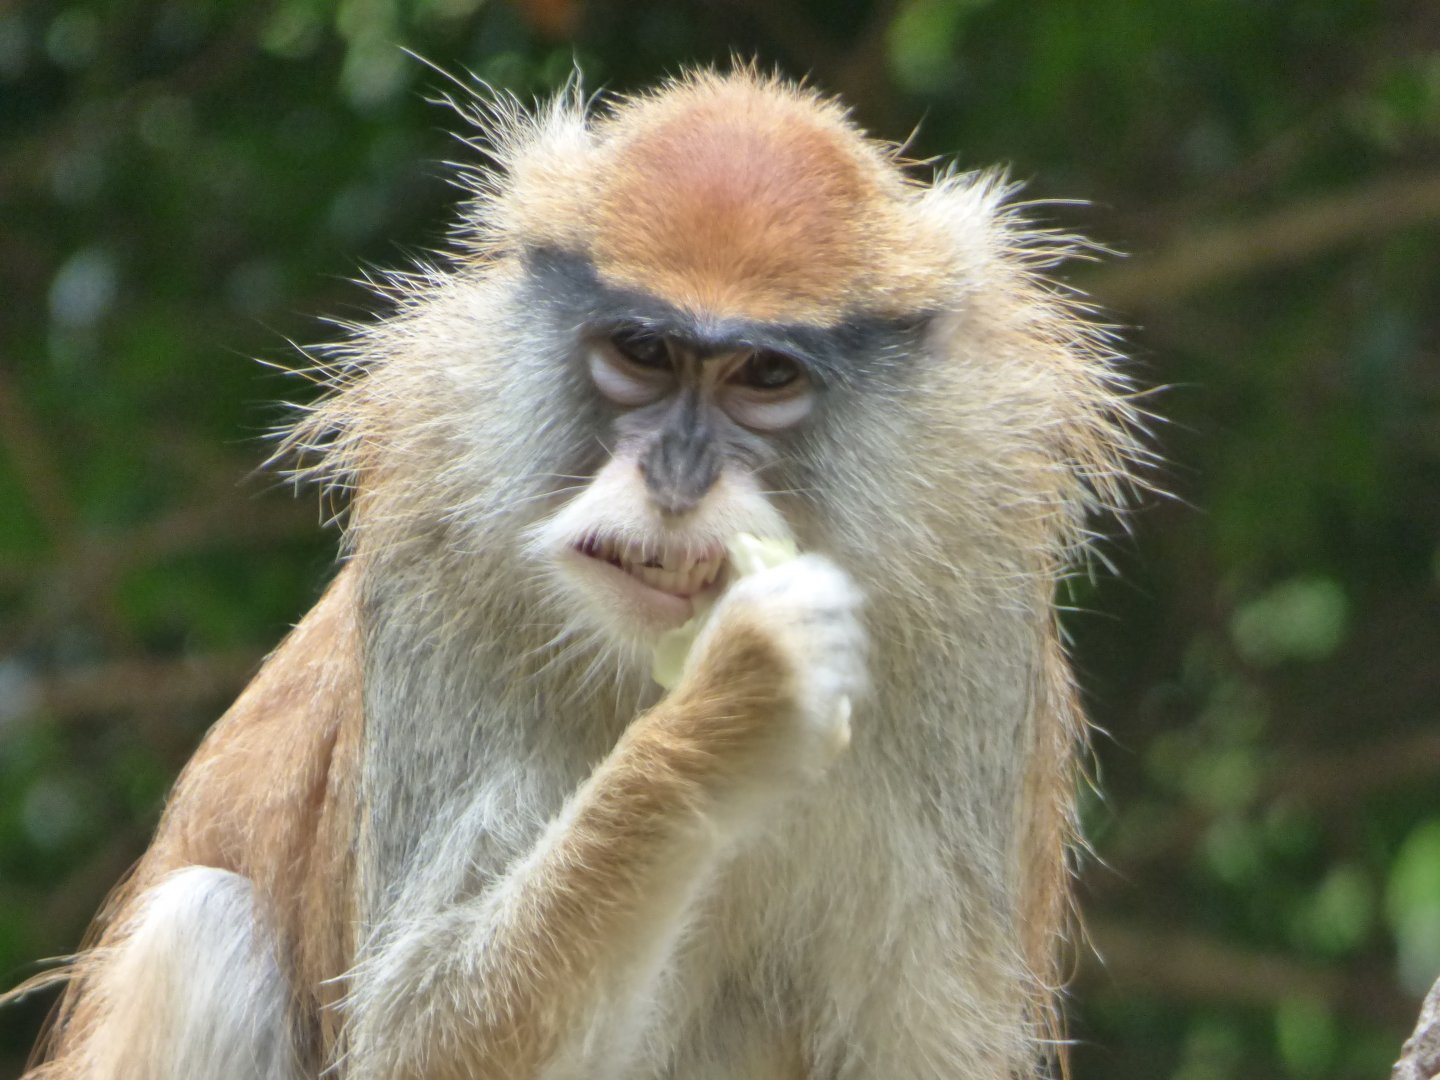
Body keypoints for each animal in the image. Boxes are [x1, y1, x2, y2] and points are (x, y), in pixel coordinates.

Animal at [8, 67, 1140, 1079]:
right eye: (642, 351)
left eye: (765, 374)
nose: (676, 478)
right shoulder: (437, 546)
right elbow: (424, 1044)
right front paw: (734, 700)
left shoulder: (977, 611)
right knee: (204, 931)